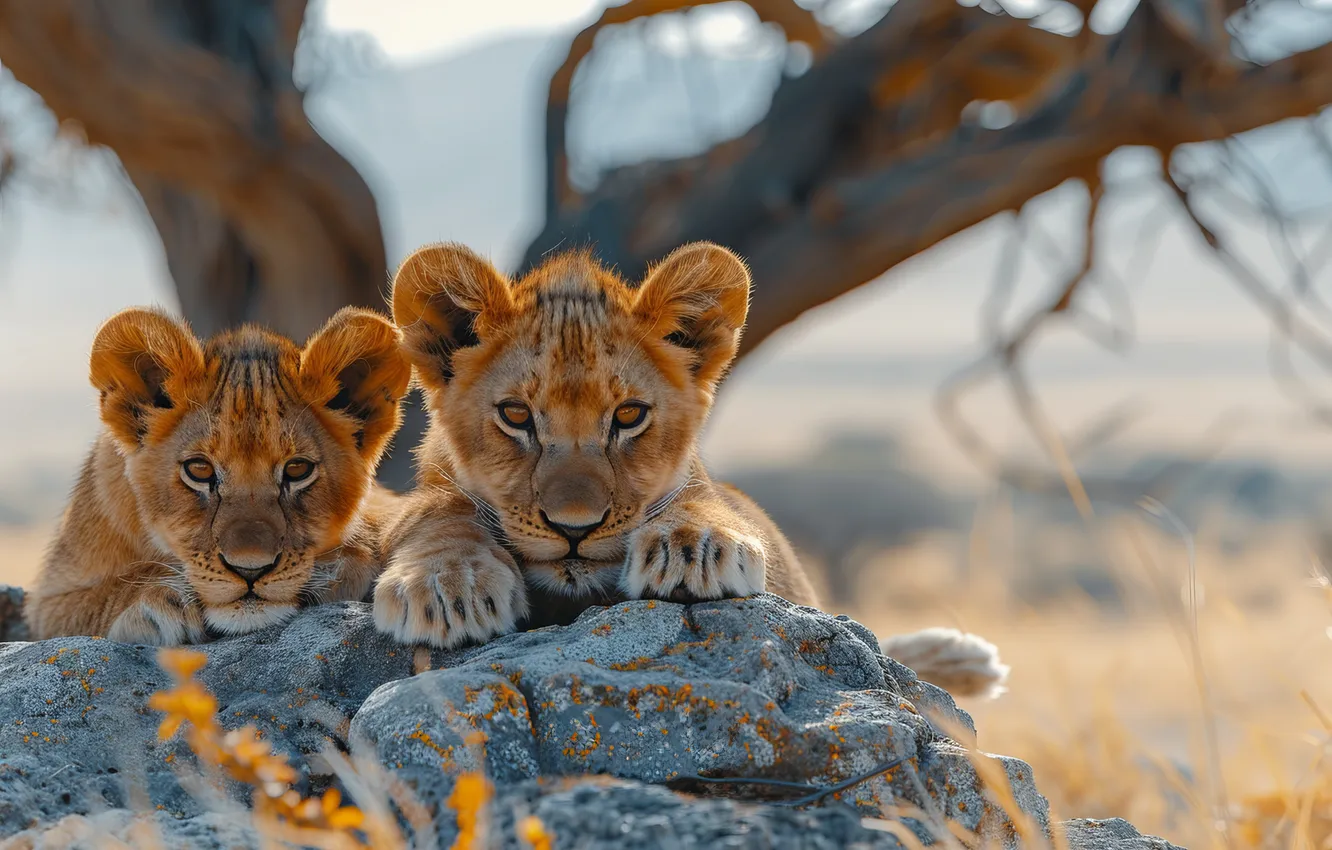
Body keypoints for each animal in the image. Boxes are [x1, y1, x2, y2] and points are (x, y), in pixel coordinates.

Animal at [26, 306, 412, 645]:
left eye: (297, 469)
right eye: (199, 470)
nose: (250, 570)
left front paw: (341, 566)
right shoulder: (48, 602)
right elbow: (105, 595)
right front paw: (157, 601)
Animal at [376, 241, 1007, 698]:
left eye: (629, 415)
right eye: (515, 415)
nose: (575, 528)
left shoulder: (709, 491)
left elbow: (698, 498)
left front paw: (694, 549)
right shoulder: (416, 499)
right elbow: (440, 510)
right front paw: (449, 587)